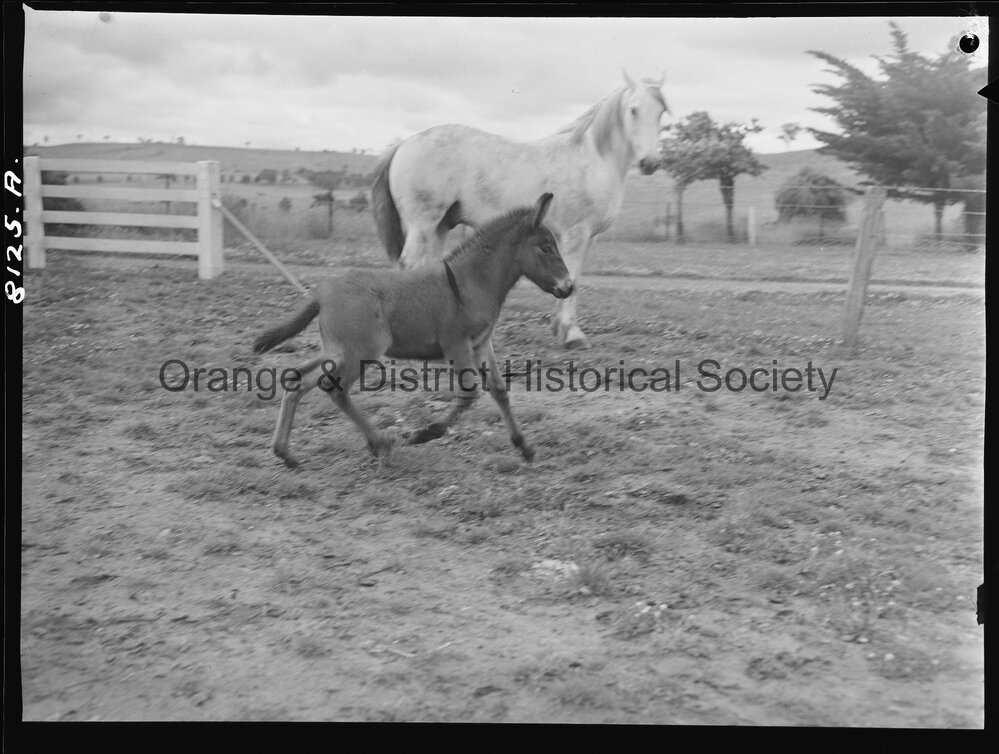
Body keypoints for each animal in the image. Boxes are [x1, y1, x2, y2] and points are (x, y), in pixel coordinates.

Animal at [253, 193, 572, 467]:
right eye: (546, 248)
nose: (569, 287)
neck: (472, 282)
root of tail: (322, 294)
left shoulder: (482, 344)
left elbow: (499, 391)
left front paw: (524, 447)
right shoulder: (456, 346)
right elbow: (469, 394)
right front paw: (424, 434)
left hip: (336, 352)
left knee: (297, 380)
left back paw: (285, 453)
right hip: (359, 353)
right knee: (335, 390)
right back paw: (379, 443)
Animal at [371, 71, 668, 349]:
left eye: (661, 111)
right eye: (634, 110)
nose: (650, 163)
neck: (592, 160)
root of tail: (404, 144)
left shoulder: (587, 238)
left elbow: (574, 280)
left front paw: (561, 329)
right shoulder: (576, 235)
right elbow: (573, 280)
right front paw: (573, 335)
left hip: (439, 226)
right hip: (423, 224)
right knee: (409, 265)